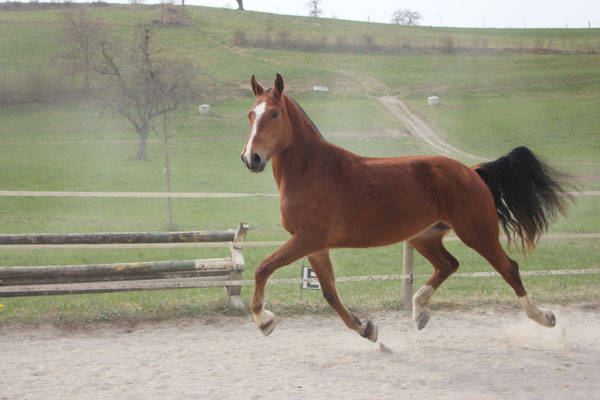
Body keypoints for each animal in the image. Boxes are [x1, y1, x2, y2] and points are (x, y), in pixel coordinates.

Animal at [241, 74, 568, 340]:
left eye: (274, 113)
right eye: (250, 115)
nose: (251, 158)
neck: (311, 171)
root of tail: (472, 172)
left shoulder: (307, 239)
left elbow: (263, 267)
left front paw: (263, 320)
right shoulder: (316, 246)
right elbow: (330, 292)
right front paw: (366, 328)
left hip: (477, 234)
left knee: (508, 268)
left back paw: (544, 317)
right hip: (425, 236)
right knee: (449, 264)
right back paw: (419, 311)